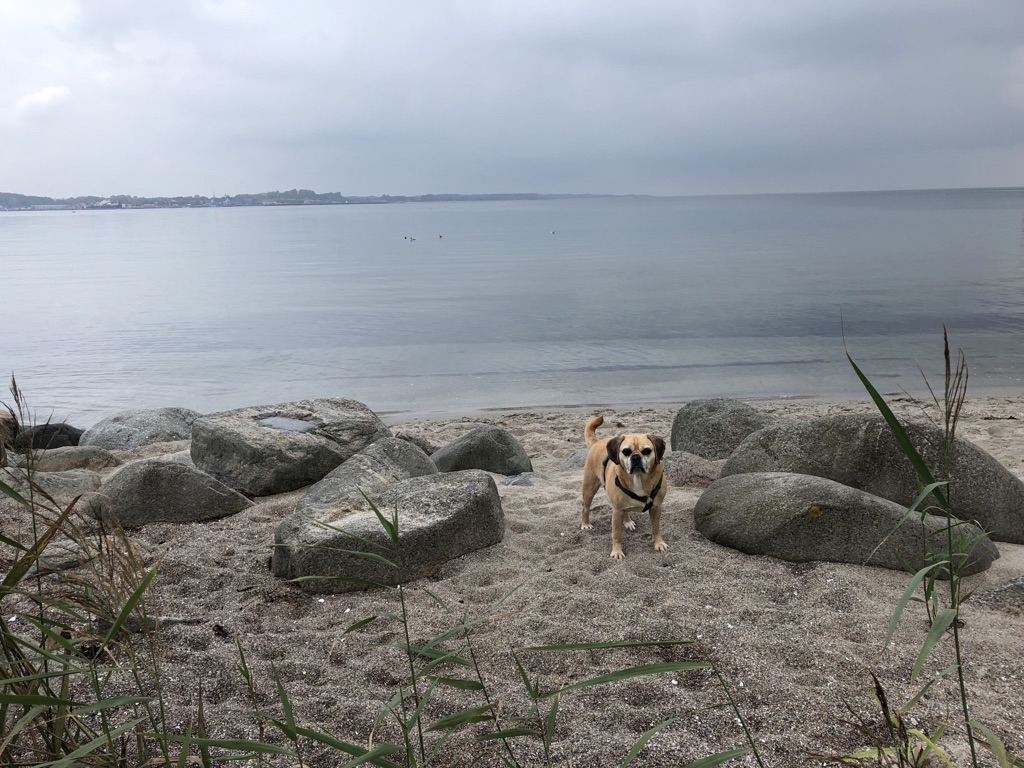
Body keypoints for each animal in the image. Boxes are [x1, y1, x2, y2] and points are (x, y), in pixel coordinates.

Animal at [580, 415, 667, 559]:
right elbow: (617, 534)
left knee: (626, 510)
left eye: (647, 451)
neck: (638, 478)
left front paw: (658, 543)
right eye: (626, 452)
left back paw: (627, 521)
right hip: (589, 488)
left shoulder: (656, 508)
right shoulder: (616, 511)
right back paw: (585, 524)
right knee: (585, 507)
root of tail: (597, 442)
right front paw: (617, 551)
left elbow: (656, 528)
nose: (636, 457)